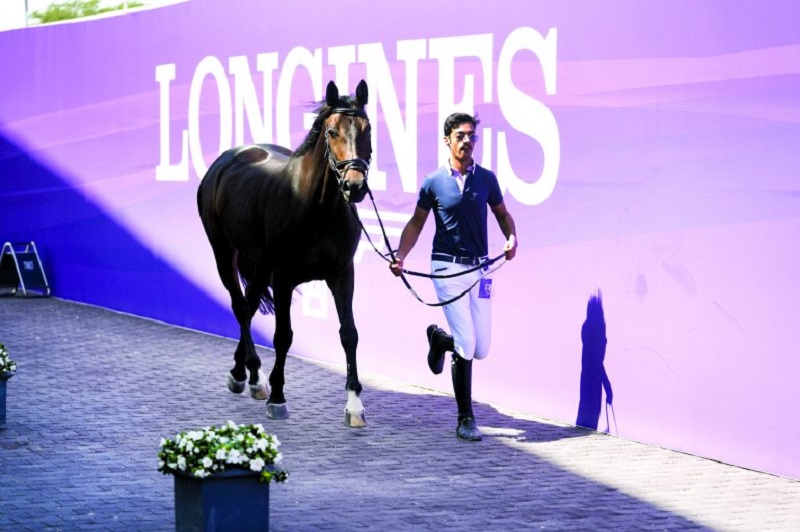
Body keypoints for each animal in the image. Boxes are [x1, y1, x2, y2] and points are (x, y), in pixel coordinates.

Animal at [200, 80, 376, 428]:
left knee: (250, 304)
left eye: (367, 129)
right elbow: (283, 336)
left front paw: (354, 405)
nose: (355, 186)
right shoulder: (283, 278)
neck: (317, 208)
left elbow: (349, 334)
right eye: (332, 131)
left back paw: (246, 374)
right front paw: (279, 398)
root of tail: (226, 160)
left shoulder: (342, 275)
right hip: (224, 252)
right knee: (240, 306)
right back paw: (253, 376)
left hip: (260, 264)